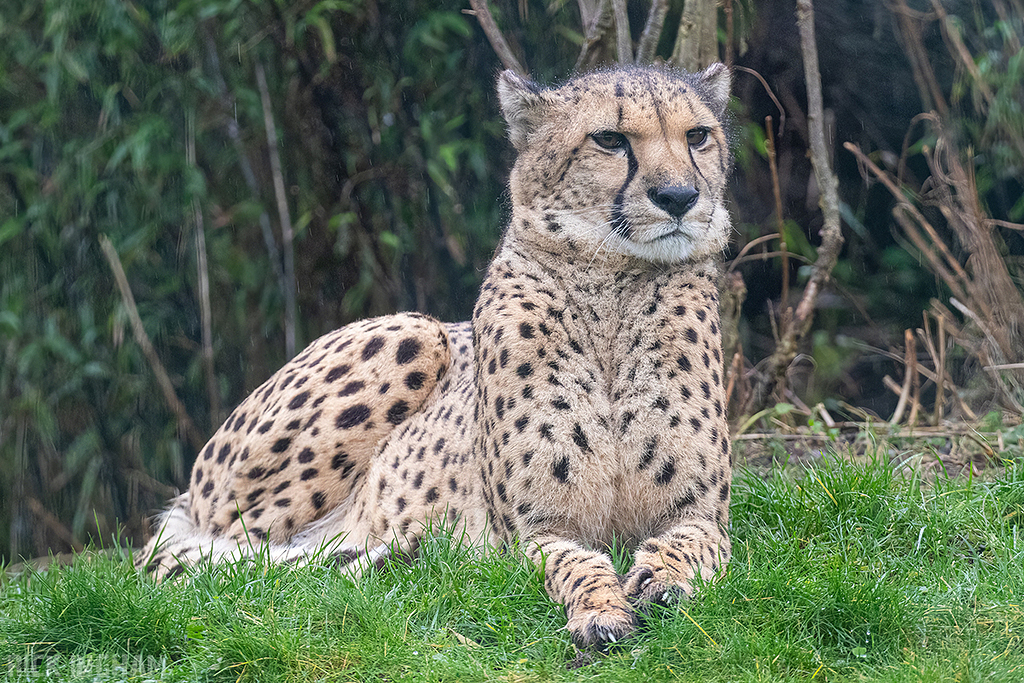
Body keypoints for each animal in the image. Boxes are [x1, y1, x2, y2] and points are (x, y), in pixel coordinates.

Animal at [137, 62, 735, 649]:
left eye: (697, 136)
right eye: (610, 139)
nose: (679, 197)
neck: (611, 284)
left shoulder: (706, 514)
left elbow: (692, 544)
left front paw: (662, 578)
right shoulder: (532, 530)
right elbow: (575, 565)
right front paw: (600, 610)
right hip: (413, 333)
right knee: (202, 557)